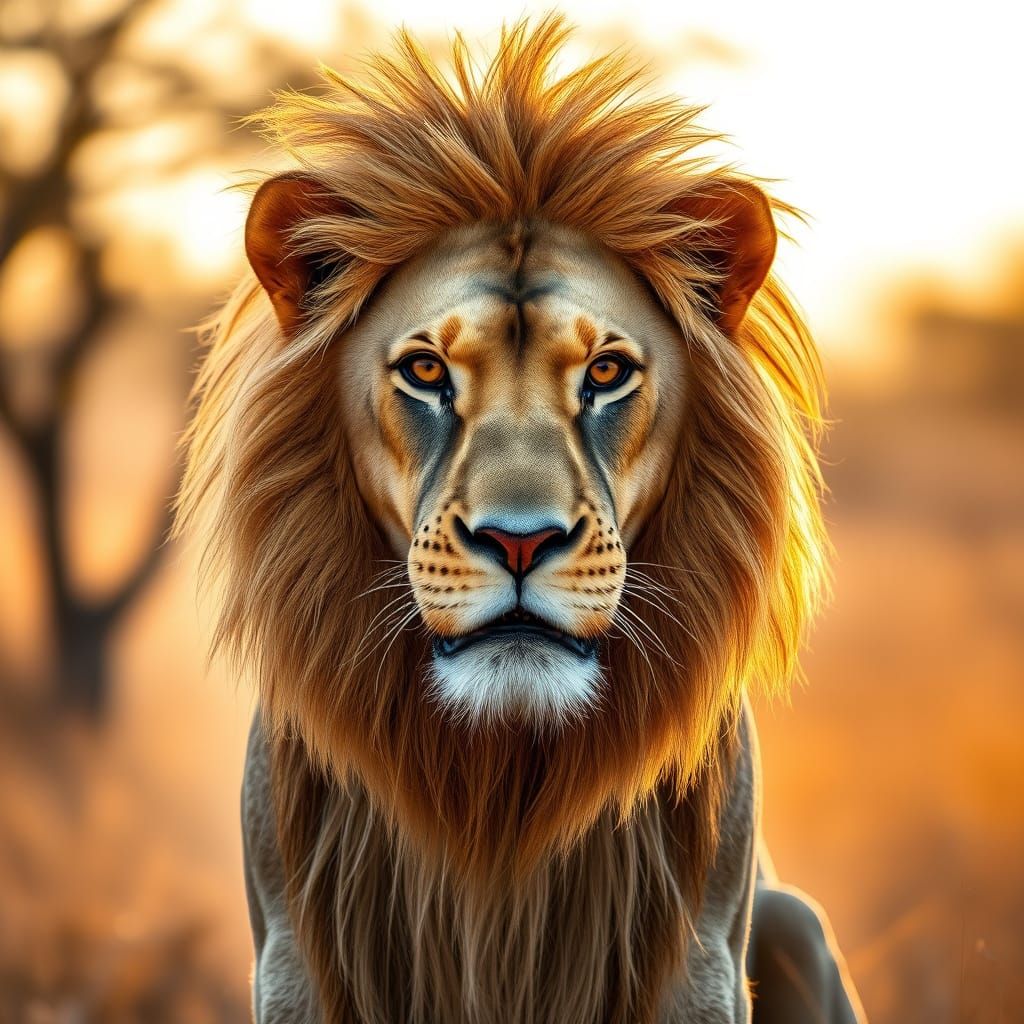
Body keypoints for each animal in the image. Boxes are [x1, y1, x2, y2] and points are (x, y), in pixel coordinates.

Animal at [176, 16, 866, 1024]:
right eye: (425, 371)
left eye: (607, 372)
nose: (519, 541)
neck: (500, 778)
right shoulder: (300, 958)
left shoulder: (698, 957)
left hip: (793, 921)